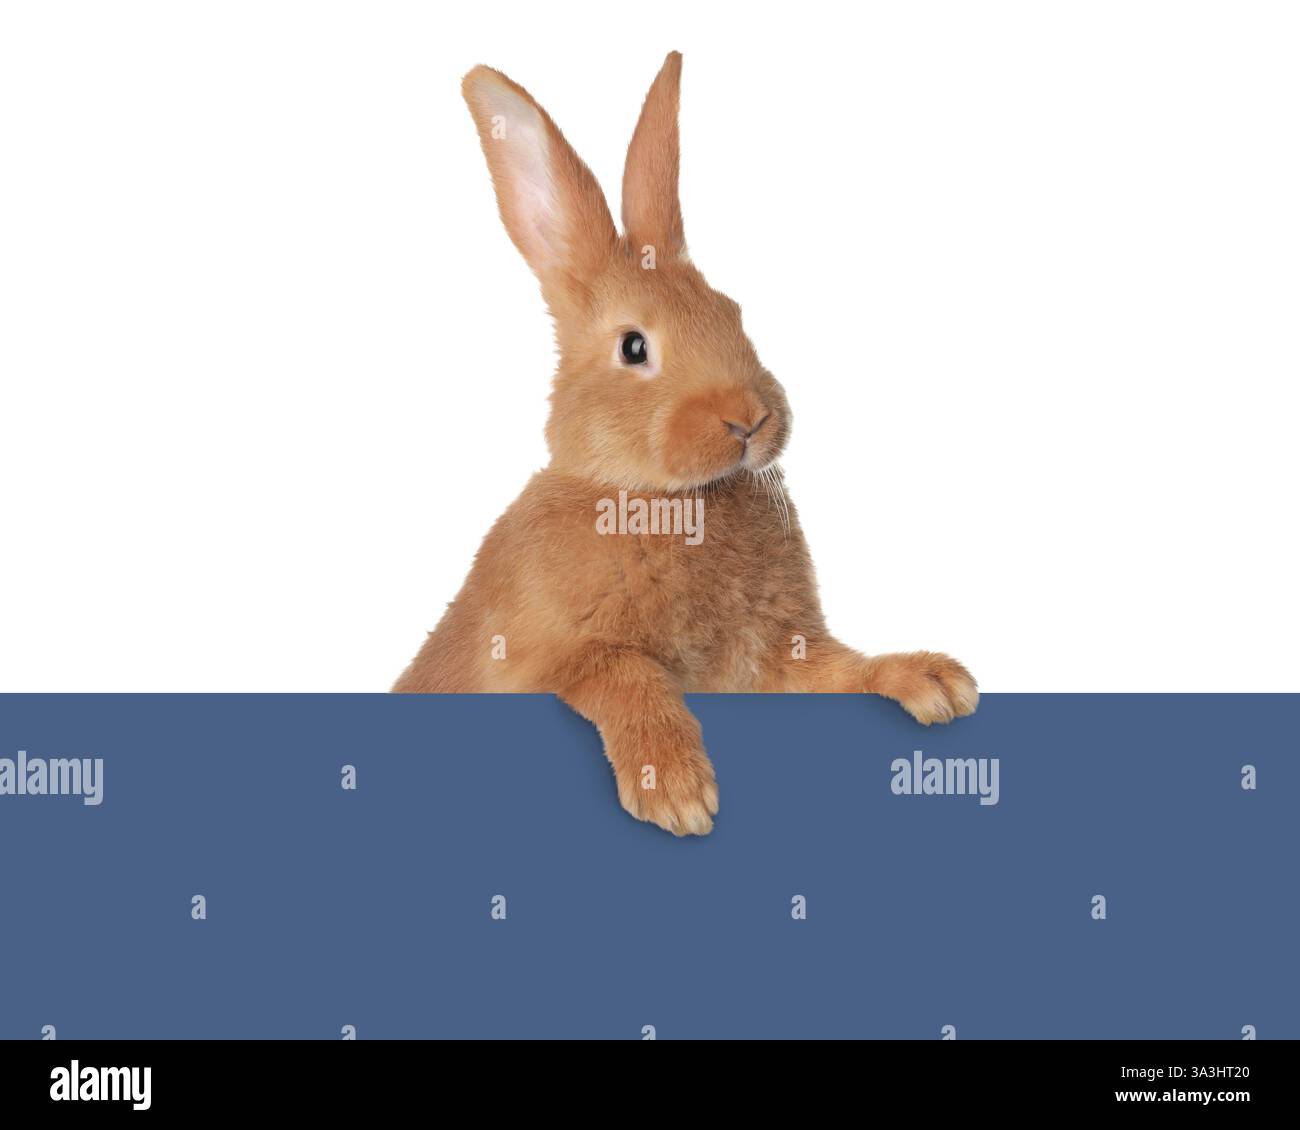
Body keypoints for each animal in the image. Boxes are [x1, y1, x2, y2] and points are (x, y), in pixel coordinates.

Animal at [393, 52, 977, 835]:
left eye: (731, 312)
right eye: (634, 346)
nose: (748, 420)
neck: (663, 499)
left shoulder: (776, 657)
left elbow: (839, 670)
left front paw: (931, 679)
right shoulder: (538, 659)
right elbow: (620, 670)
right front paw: (673, 786)